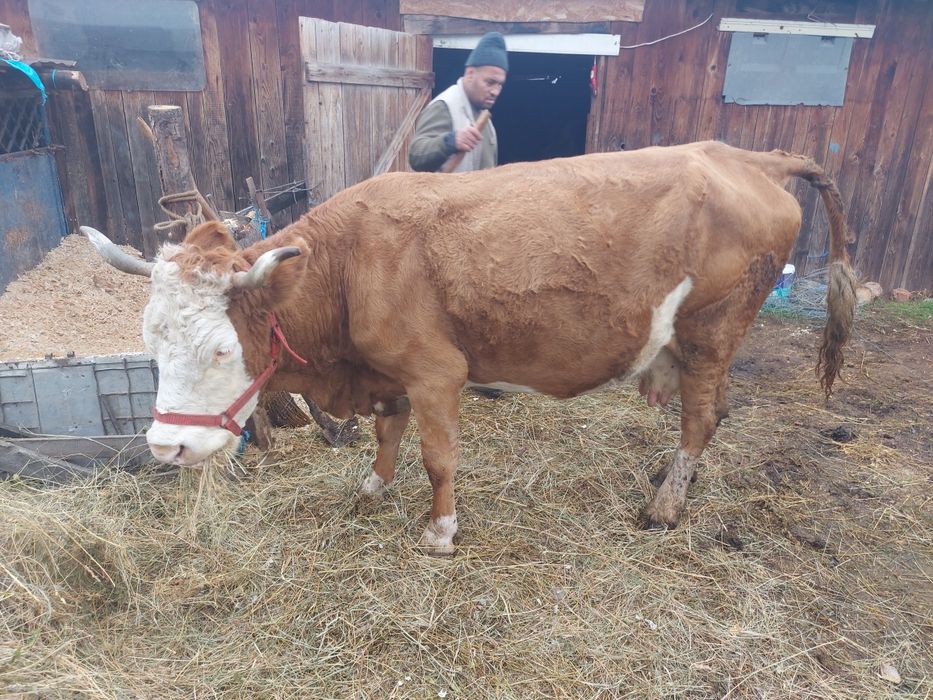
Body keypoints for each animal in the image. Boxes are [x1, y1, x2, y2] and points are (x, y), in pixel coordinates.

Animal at [84, 140, 857, 555]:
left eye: (222, 349)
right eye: (150, 342)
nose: (166, 447)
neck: (350, 262)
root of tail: (745, 156)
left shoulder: (435, 372)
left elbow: (437, 457)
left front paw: (440, 531)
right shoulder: (388, 371)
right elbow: (387, 434)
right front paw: (371, 488)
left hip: (710, 330)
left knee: (699, 418)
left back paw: (665, 507)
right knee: (716, 412)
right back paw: (671, 480)